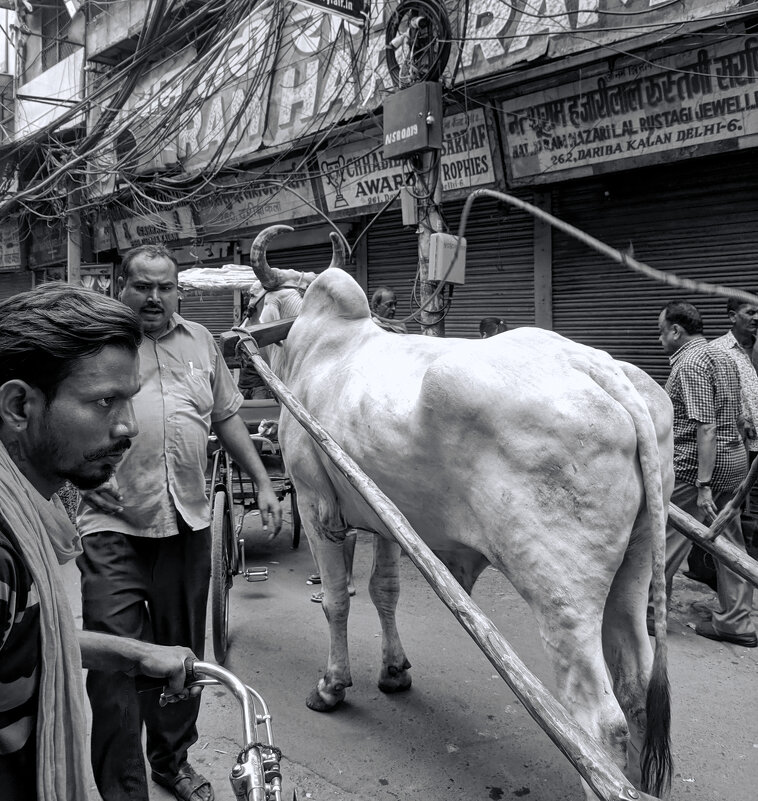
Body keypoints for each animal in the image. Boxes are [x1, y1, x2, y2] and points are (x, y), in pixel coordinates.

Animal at [249, 223, 676, 792]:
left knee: (599, 724)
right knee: (638, 687)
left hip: (561, 597)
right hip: (636, 568)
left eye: (254, 304)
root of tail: (599, 367)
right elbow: (385, 592)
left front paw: (332, 686)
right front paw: (393, 671)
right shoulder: (386, 521)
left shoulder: (318, 508)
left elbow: (337, 601)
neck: (318, 346)